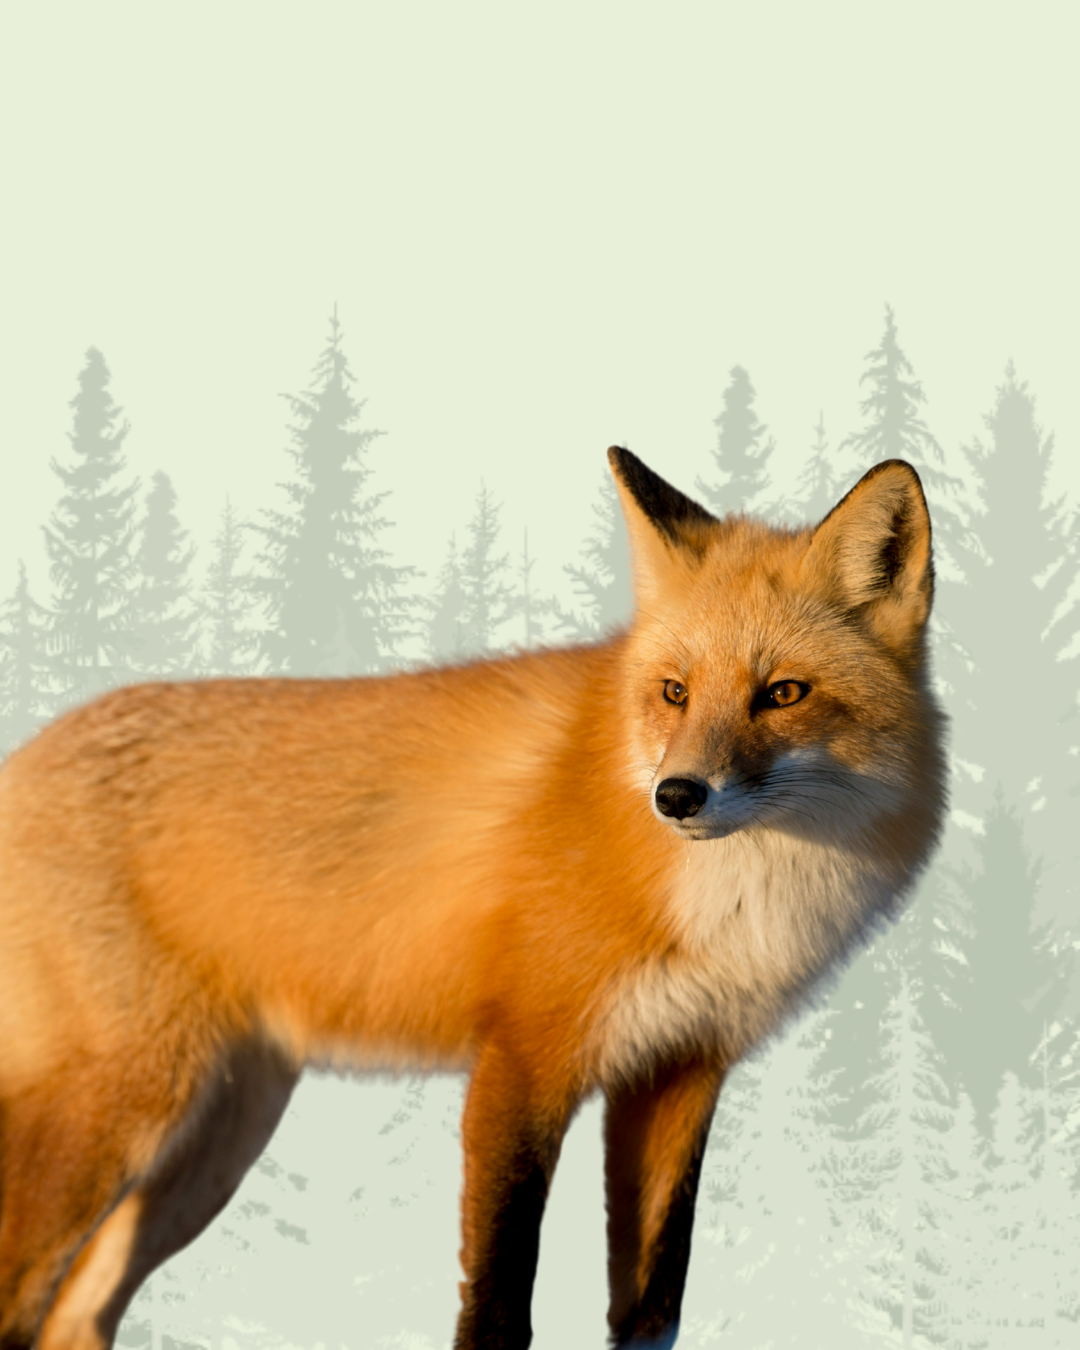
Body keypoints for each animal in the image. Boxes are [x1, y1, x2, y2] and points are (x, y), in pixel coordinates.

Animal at [0, 447, 945, 1350]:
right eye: (675, 692)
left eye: (783, 694)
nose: (676, 796)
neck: (730, 902)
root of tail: (27, 752)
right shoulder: (521, 1061)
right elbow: (496, 1306)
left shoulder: (678, 1072)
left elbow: (652, 1307)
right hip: (123, 1113)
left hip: (214, 1145)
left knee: (75, 1320)